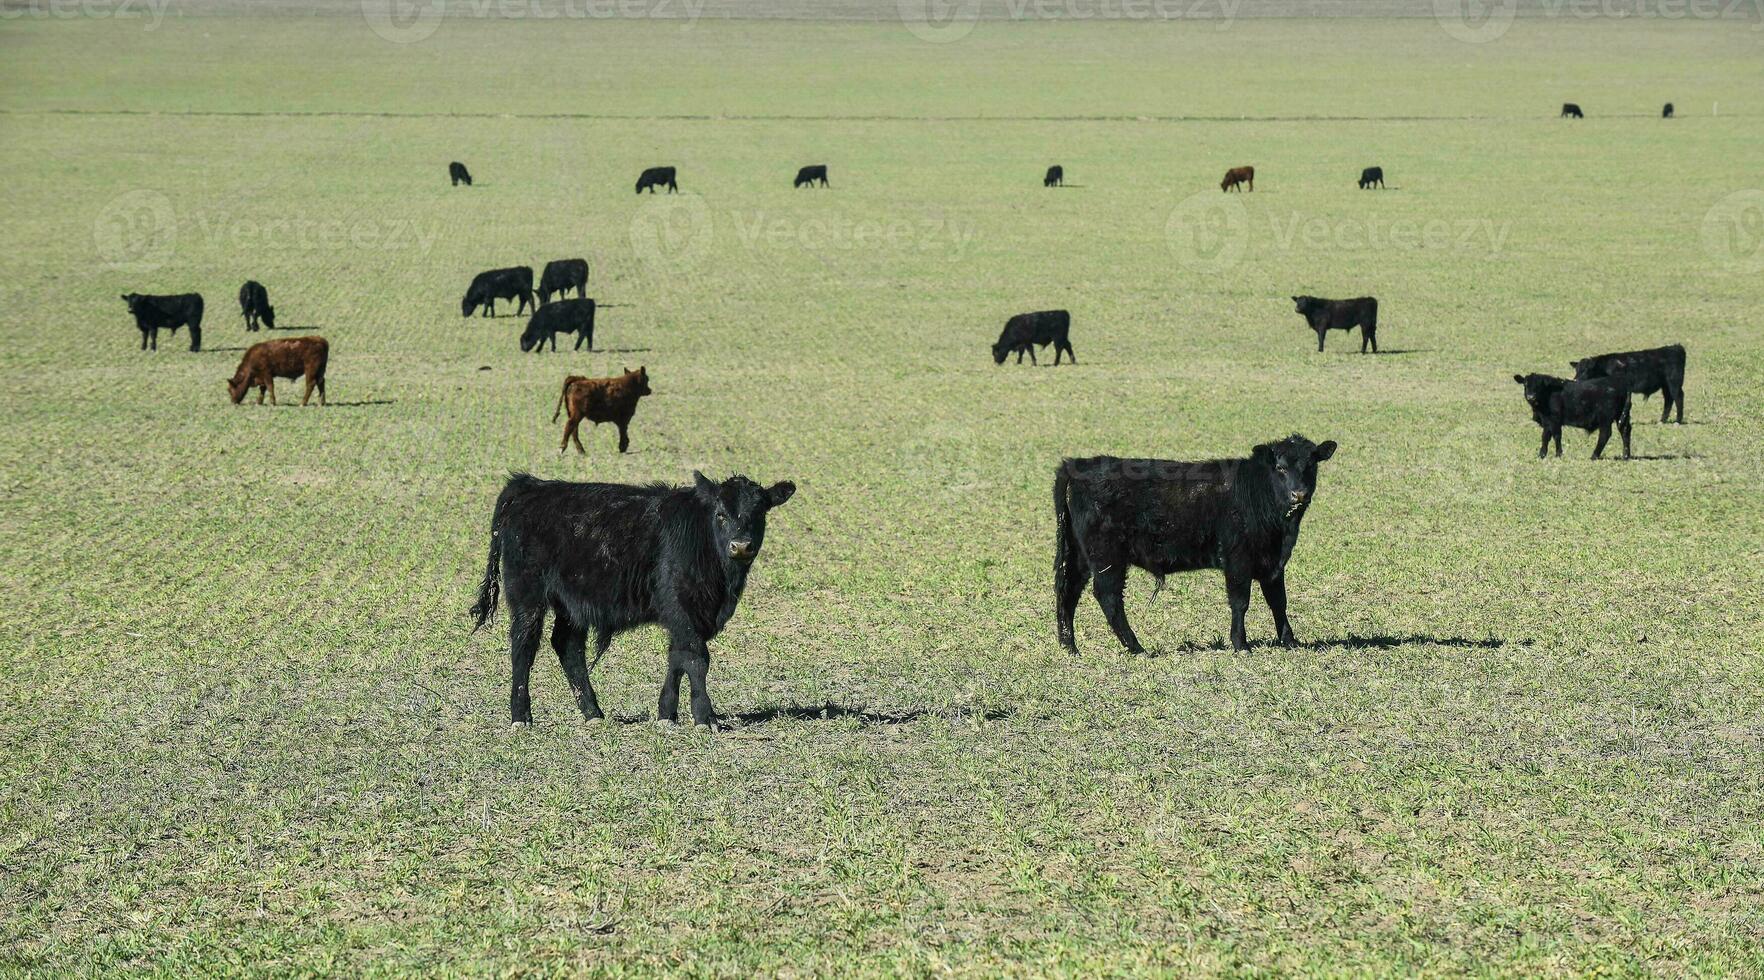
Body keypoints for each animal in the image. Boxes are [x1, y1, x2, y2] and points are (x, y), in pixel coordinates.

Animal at [472, 465, 797, 726]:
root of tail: (531, 485)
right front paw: (706, 718)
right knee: (523, 646)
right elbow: (696, 658)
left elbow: (677, 657)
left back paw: (593, 714)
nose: (741, 546)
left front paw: (667, 715)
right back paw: (521, 717)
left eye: (759, 514)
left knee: (568, 646)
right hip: (527, 594)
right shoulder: (680, 606)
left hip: (572, 604)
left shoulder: (688, 616)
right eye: (720, 514)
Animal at [1044, 435, 1333, 652]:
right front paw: (1241, 644)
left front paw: (1290, 640)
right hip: (1106, 556)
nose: (1299, 494)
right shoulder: (1238, 558)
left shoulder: (1273, 562)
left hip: (1078, 553)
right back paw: (1136, 647)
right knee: (1108, 595)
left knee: (1068, 590)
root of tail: (1076, 465)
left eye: (1311, 465)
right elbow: (1240, 601)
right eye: (1280, 468)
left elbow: (1279, 601)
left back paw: (1069, 646)